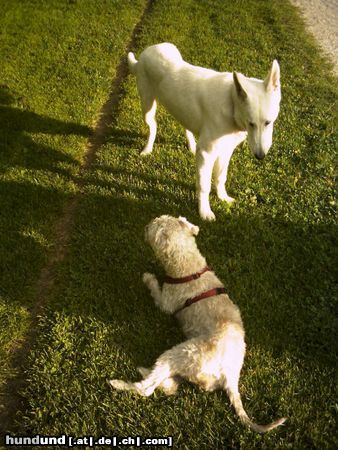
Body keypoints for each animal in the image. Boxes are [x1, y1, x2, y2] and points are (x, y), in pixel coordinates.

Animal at [109, 216, 286, 434]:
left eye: (153, 225)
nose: (145, 225)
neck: (189, 266)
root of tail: (229, 377)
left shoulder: (166, 301)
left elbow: (156, 290)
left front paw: (149, 277)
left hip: (182, 353)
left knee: (147, 389)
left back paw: (119, 383)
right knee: (170, 385)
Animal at [127, 44, 280, 221]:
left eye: (268, 122)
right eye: (251, 124)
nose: (260, 156)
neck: (231, 103)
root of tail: (145, 53)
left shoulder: (226, 150)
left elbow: (221, 177)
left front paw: (222, 198)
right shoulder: (207, 154)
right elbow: (204, 185)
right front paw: (204, 212)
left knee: (186, 126)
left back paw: (192, 146)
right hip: (147, 107)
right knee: (153, 127)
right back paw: (148, 149)